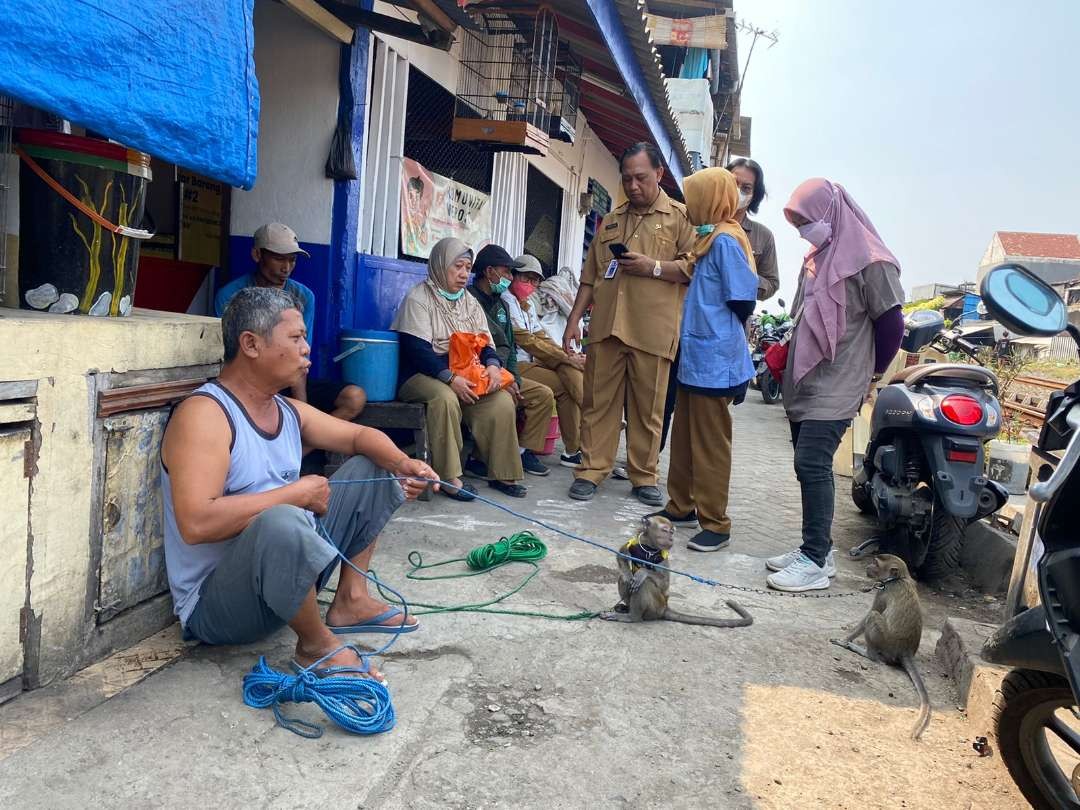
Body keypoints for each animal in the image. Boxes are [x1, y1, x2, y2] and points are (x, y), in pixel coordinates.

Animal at [600, 516, 751, 630]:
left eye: (672, 532)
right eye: (665, 531)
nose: (671, 539)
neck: (649, 547)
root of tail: (665, 608)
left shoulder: (662, 557)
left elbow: (663, 582)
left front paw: (642, 572)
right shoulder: (634, 542)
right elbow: (622, 555)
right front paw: (628, 575)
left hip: (657, 606)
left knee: (645, 584)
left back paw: (633, 617)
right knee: (622, 579)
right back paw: (626, 607)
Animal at [829, 557, 933, 738]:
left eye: (876, 563)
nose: (868, 566)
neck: (898, 579)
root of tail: (905, 651)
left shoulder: (883, 592)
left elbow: (870, 613)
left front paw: (844, 639)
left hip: (885, 642)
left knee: (873, 617)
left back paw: (864, 652)